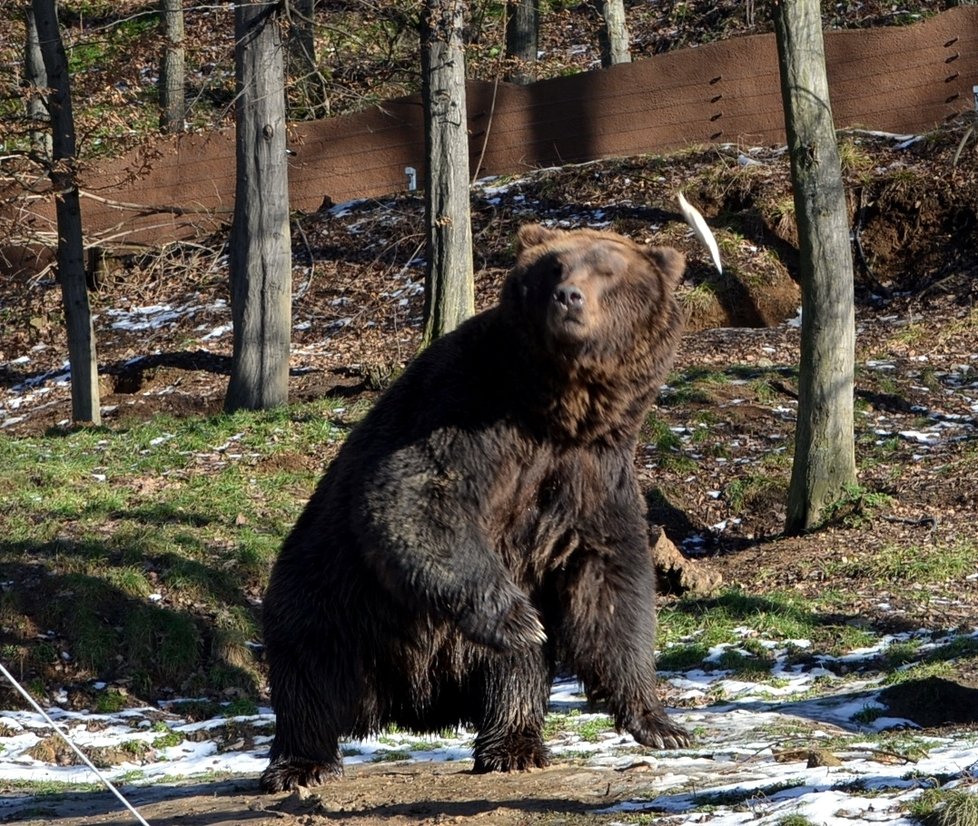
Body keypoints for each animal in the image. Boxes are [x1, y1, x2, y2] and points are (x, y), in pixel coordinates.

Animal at [255, 222, 692, 788]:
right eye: (554, 265)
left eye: (607, 271)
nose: (568, 297)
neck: (558, 408)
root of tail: (413, 704)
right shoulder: (470, 411)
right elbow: (416, 496)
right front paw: (517, 619)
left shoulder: (593, 470)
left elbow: (607, 580)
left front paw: (661, 724)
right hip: (332, 586)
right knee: (312, 667)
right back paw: (302, 764)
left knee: (515, 673)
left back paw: (513, 745)